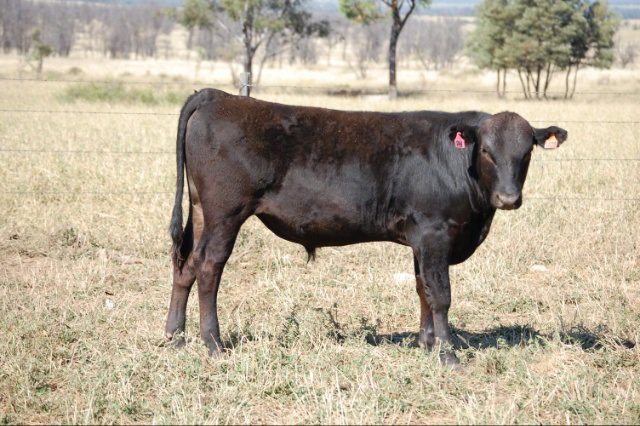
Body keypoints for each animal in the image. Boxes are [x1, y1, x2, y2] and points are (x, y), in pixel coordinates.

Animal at [165, 88, 568, 366]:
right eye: (486, 150)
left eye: (527, 151)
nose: (508, 197)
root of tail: (217, 95)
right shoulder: (435, 234)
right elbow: (440, 294)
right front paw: (447, 353)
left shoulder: (420, 240)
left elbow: (422, 289)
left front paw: (425, 343)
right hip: (226, 214)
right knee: (208, 267)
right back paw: (213, 343)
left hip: (201, 212)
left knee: (186, 266)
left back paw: (175, 337)